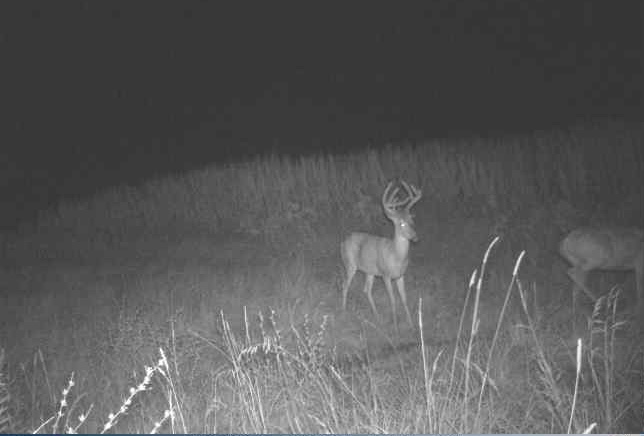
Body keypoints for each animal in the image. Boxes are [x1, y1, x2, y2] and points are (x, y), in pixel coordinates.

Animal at [341, 180, 422, 331]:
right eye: (401, 223)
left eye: (412, 220)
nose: (415, 238)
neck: (396, 256)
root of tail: (343, 242)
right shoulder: (385, 275)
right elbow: (393, 300)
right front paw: (395, 326)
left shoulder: (400, 275)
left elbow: (404, 299)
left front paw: (411, 324)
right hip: (350, 264)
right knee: (345, 285)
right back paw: (343, 311)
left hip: (370, 271)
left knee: (366, 290)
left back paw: (377, 317)